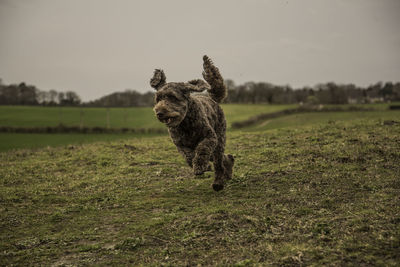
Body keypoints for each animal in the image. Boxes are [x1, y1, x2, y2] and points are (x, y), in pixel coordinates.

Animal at [152, 55, 234, 192]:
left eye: (172, 97)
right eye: (158, 99)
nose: (159, 112)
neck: (185, 123)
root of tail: (211, 98)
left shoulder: (209, 137)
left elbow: (202, 149)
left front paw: (200, 166)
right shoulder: (180, 145)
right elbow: (188, 157)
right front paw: (203, 166)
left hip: (219, 139)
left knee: (218, 163)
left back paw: (218, 183)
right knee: (220, 158)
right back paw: (228, 168)